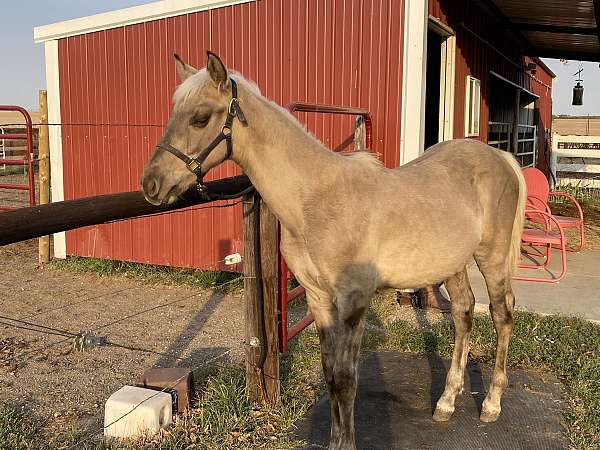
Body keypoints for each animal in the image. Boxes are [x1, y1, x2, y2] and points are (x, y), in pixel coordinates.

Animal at [141, 51, 524, 448]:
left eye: (200, 117)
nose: (151, 184)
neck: (315, 198)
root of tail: (500, 158)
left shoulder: (353, 302)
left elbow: (346, 379)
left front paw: (346, 441)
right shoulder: (318, 298)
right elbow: (330, 375)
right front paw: (334, 439)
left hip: (491, 259)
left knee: (502, 314)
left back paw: (491, 403)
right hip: (452, 263)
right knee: (463, 313)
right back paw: (446, 402)